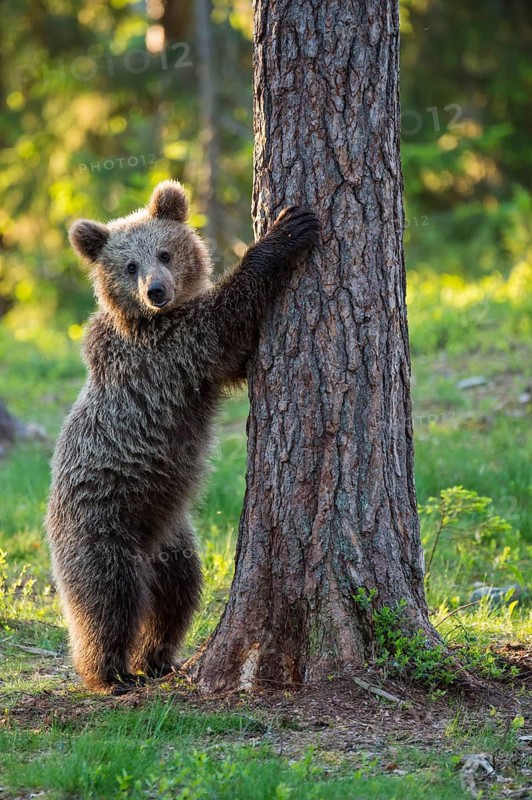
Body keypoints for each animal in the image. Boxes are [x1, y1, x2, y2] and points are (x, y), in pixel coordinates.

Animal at [46, 180, 319, 694]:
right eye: (129, 265)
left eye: (165, 252)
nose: (156, 290)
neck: (147, 320)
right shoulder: (169, 351)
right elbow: (223, 324)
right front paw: (286, 231)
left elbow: (236, 360)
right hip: (103, 525)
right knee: (107, 598)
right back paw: (109, 673)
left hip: (172, 541)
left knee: (176, 595)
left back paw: (158, 659)